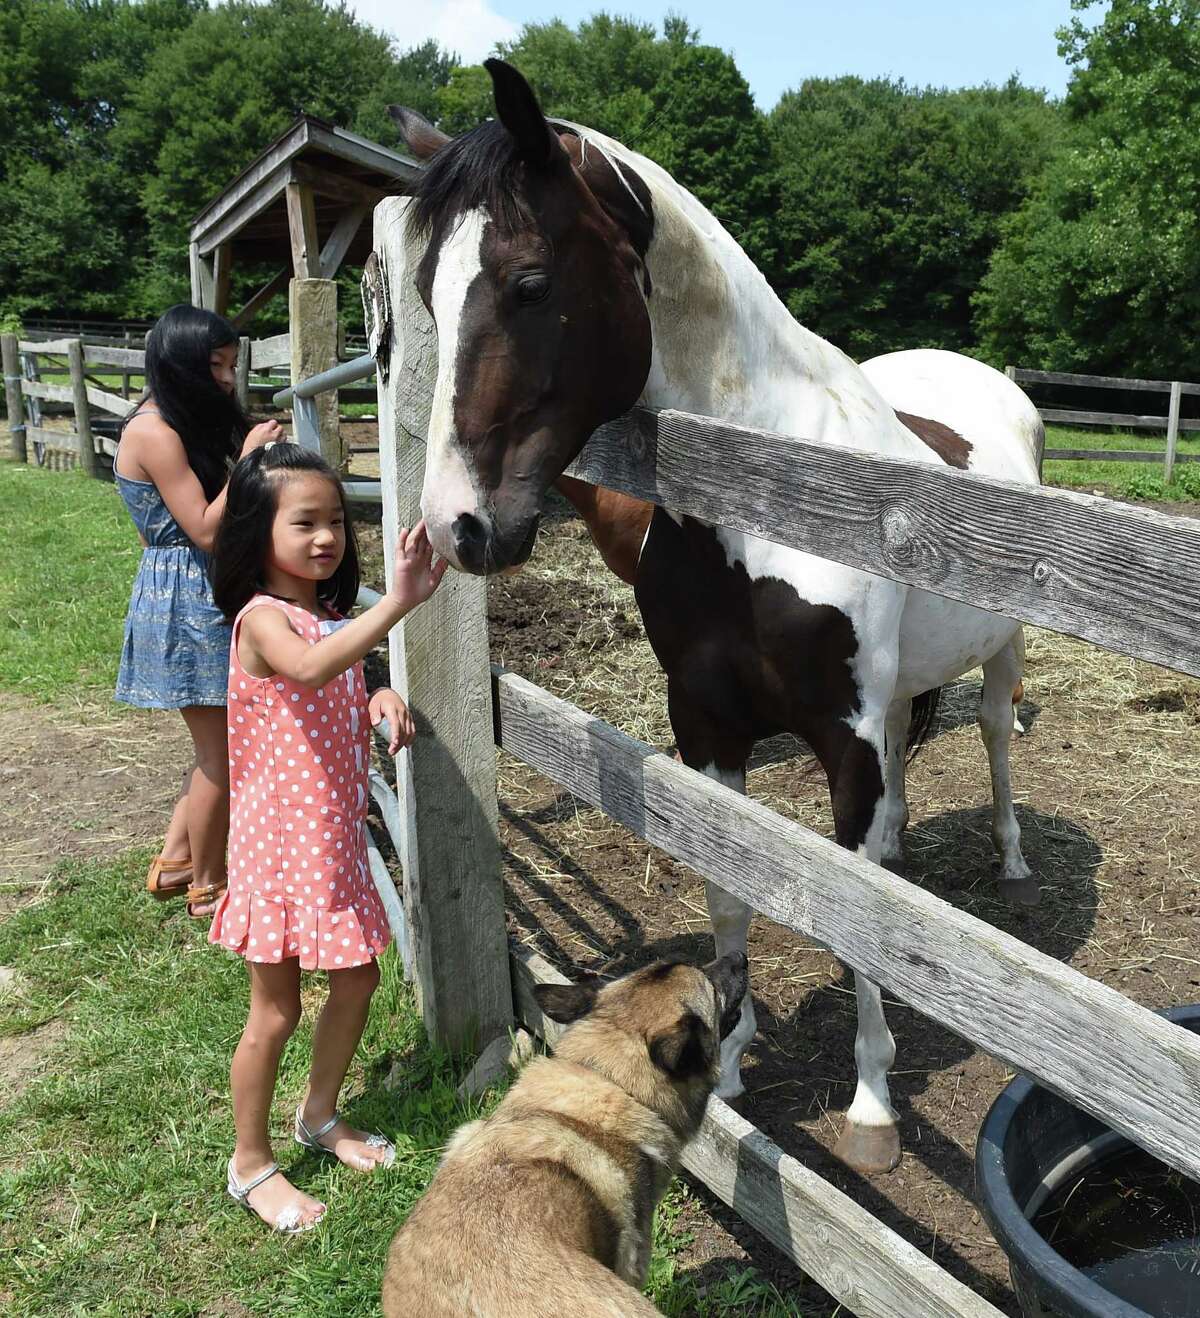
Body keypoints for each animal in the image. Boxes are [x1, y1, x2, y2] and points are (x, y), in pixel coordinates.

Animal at [389, 59, 1043, 1173]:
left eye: (529, 284)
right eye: (428, 291)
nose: (454, 527)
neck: (769, 497)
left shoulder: (841, 735)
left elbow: (850, 915)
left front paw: (872, 1109)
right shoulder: (708, 728)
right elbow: (735, 894)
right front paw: (730, 1060)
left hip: (1002, 656)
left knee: (995, 737)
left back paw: (1008, 859)